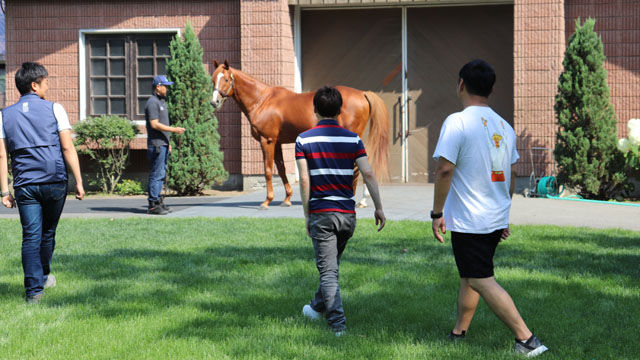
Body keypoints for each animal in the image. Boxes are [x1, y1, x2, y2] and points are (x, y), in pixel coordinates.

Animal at [212, 59, 388, 208]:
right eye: (213, 80)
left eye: (226, 80)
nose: (214, 102)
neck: (262, 100)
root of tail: (362, 93)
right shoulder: (277, 143)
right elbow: (281, 169)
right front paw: (287, 199)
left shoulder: (267, 140)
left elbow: (268, 170)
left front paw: (267, 201)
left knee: (357, 167)